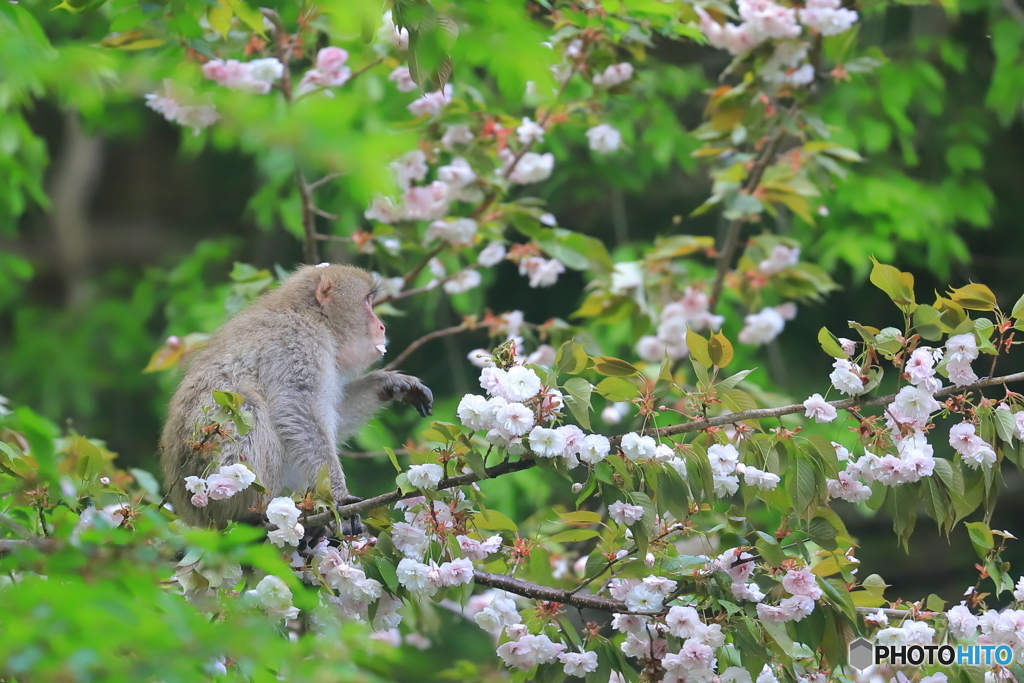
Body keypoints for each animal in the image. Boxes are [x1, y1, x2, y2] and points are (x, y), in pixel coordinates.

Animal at [159, 264, 432, 528]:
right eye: (367, 301)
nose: (381, 326)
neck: (312, 316)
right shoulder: (299, 343)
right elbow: (297, 409)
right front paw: (340, 498)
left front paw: (388, 384)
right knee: (248, 405)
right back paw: (255, 514)